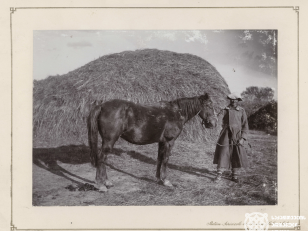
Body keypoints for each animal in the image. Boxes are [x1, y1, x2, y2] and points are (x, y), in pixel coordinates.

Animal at [86, 92, 217, 191]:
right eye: (209, 106)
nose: (213, 123)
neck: (175, 113)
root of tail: (101, 105)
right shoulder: (169, 142)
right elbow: (165, 160)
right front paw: (166, 181)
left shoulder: (161, 142)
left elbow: (159, 159)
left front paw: (158, 179)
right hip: (109, 140)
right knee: (101, 158)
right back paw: (101, 185)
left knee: (103, 159)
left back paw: (106, 182)